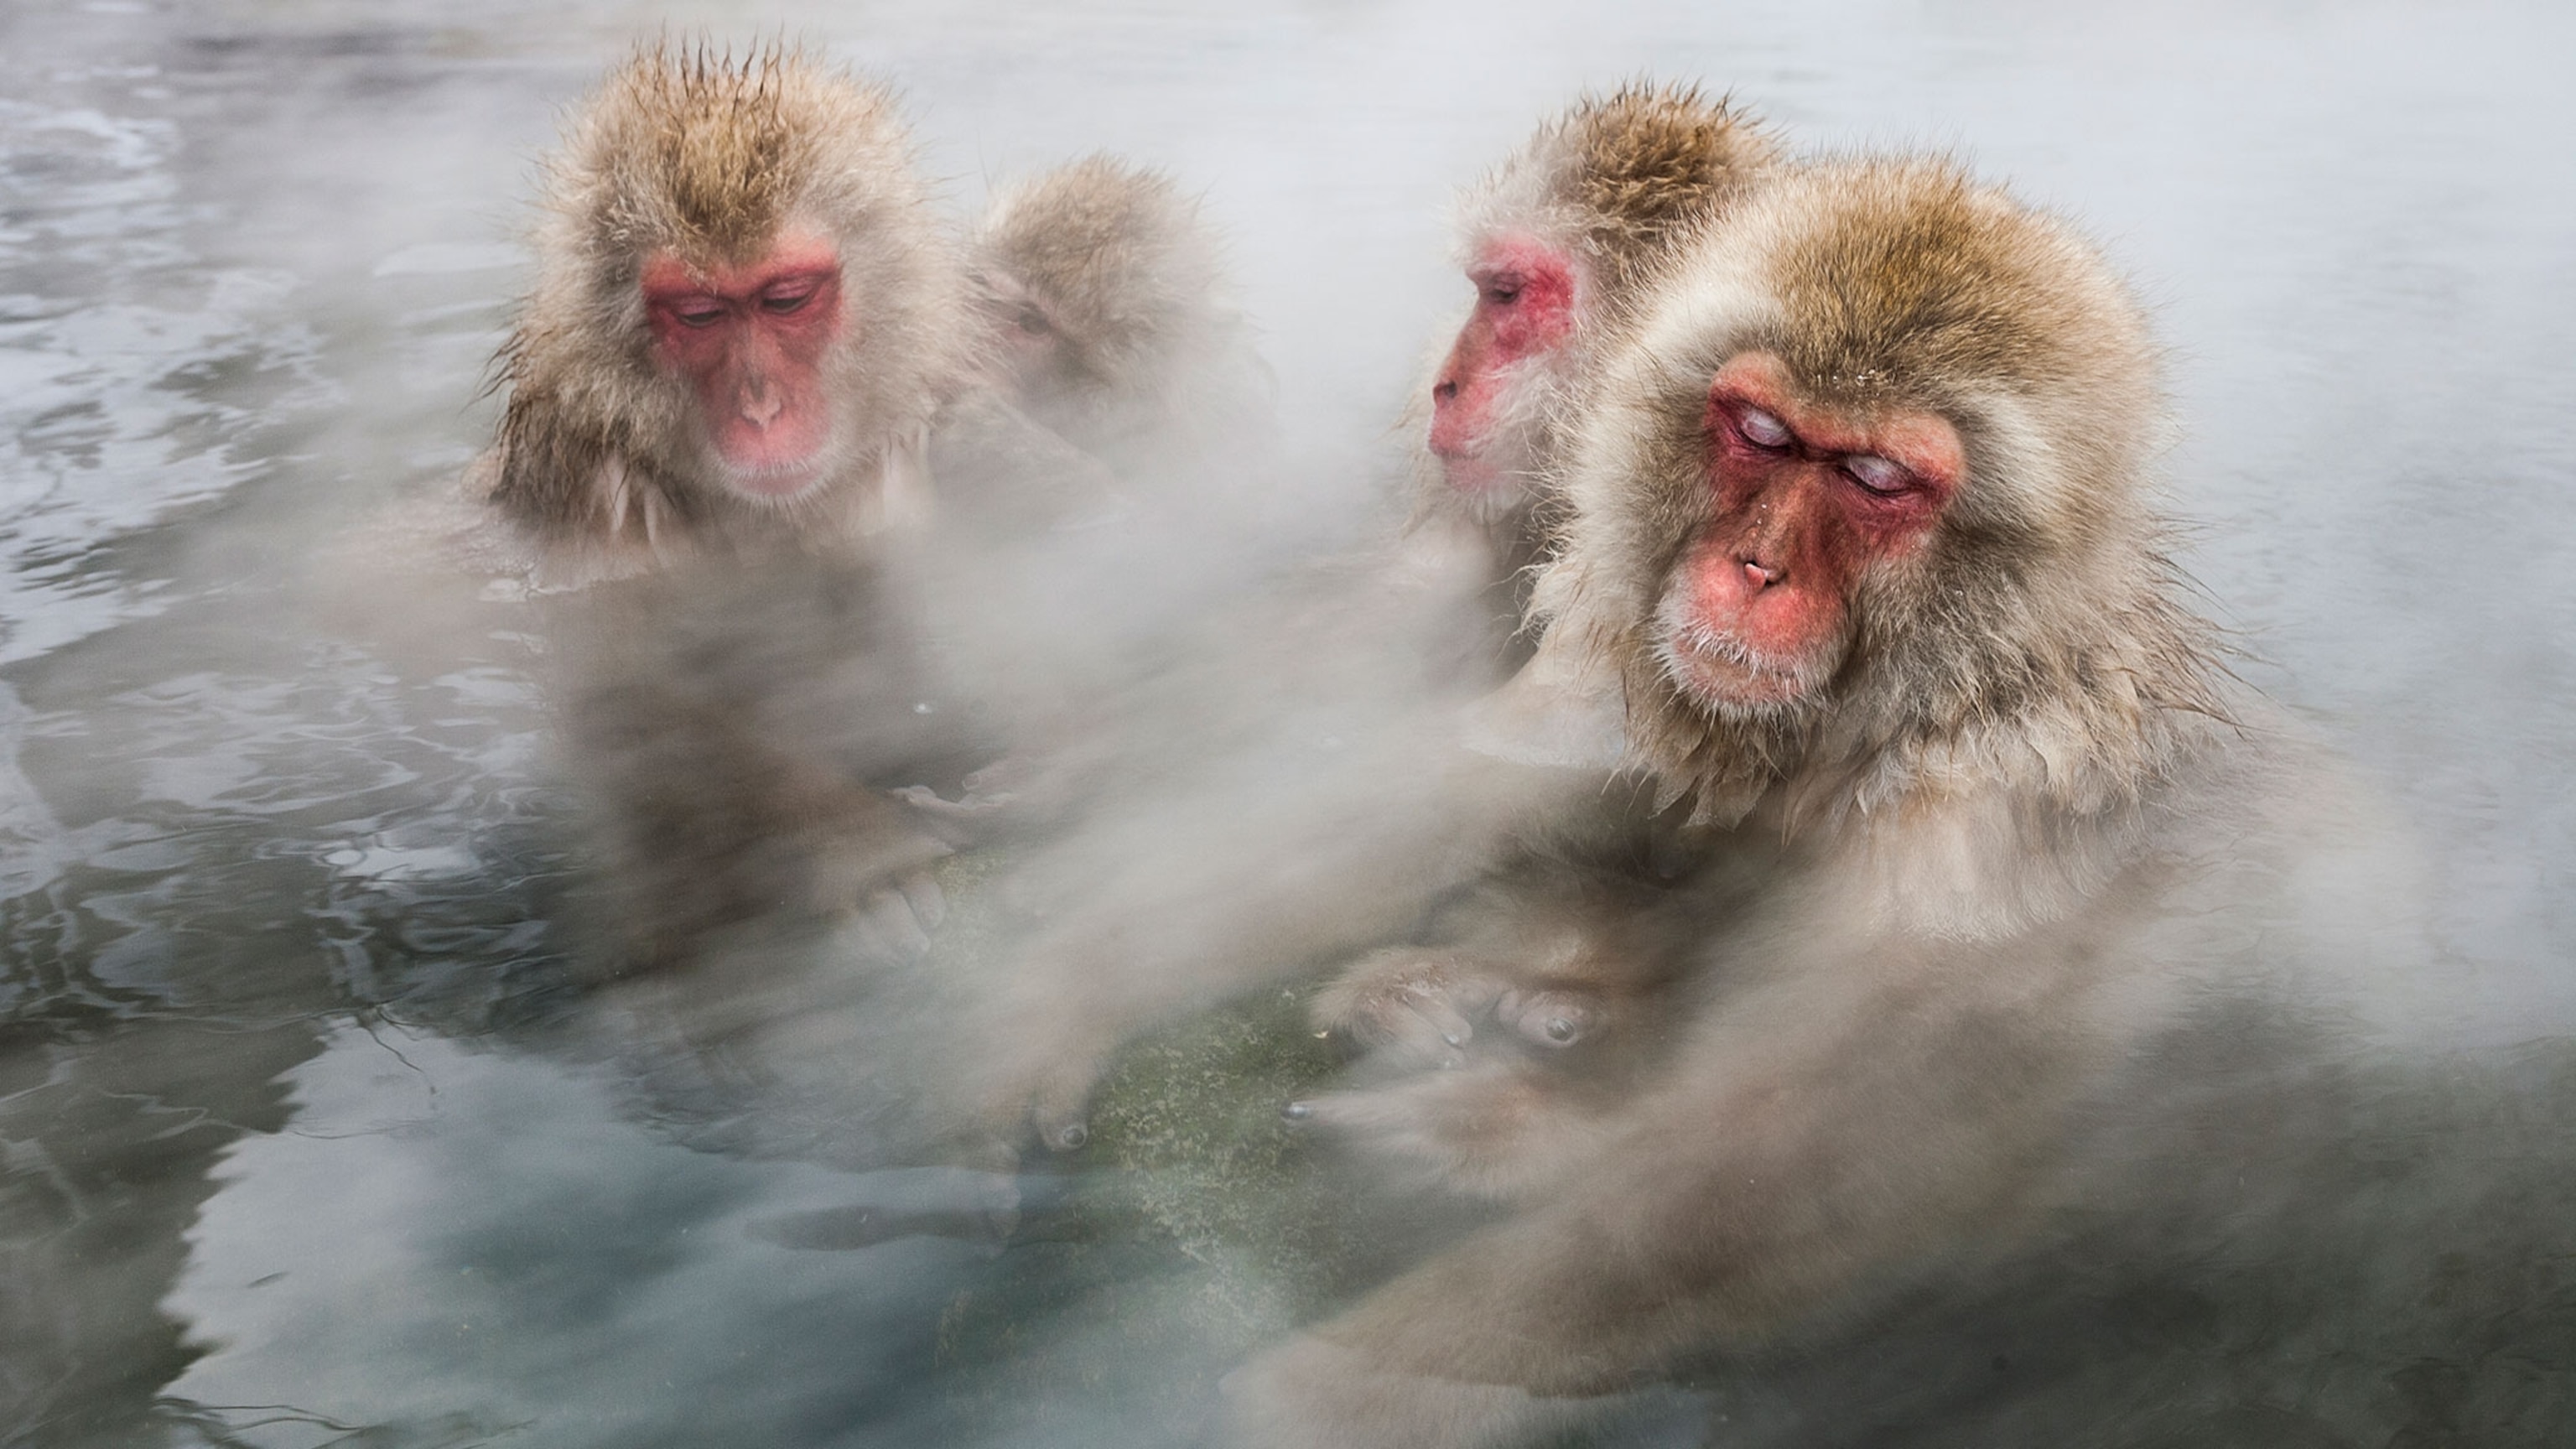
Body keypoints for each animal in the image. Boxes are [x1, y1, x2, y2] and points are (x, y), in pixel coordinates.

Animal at [472, 43, 986, 970]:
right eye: (701, 313)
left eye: (786, 298)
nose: (760, 408)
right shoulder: (594, 489)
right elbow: (640, 705)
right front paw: (857, 852)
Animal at [1219, 155, 2421, 1448]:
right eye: (1760, 433)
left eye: (1875, 478)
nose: (1756, 568)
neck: (1879, 717)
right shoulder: (1622, 677)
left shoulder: (1979, 826)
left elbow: (1841, 1150)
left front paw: (1354, 1379)